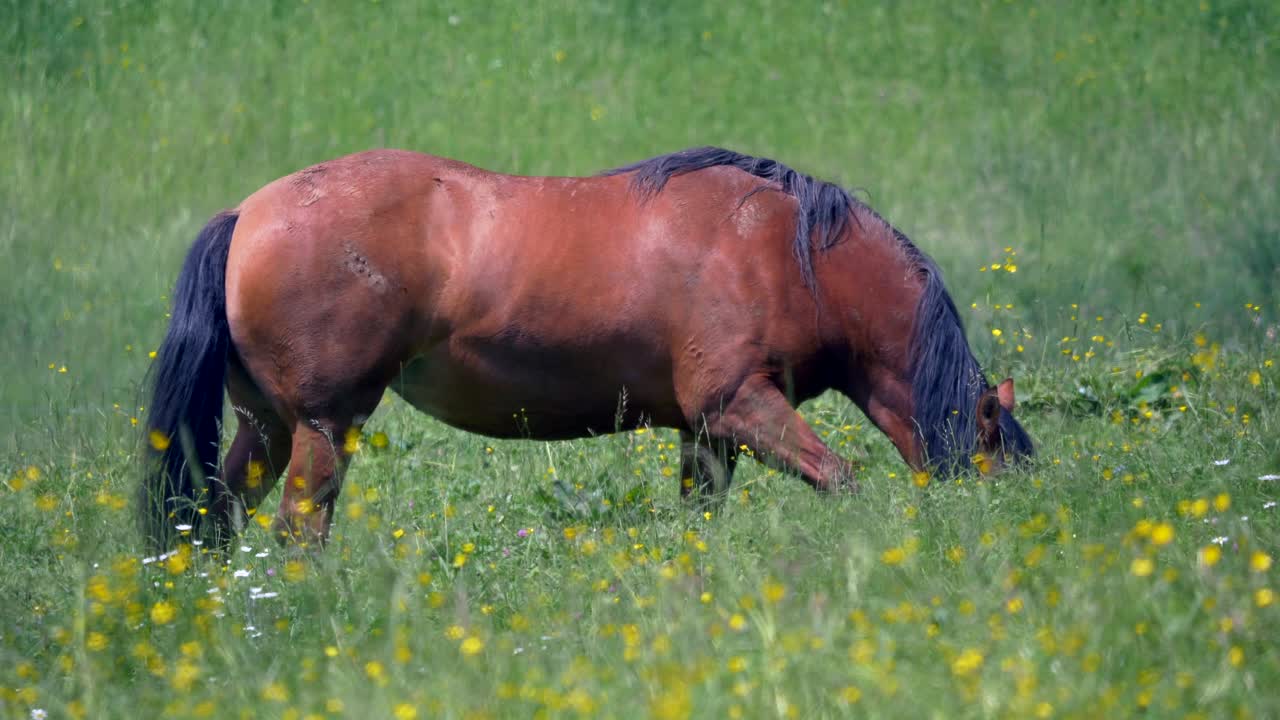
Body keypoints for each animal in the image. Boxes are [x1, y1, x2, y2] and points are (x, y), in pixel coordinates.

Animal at [140, 146, 1033, 549]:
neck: (788, 247)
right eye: (994, 464)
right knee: (298, 530)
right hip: (325, 427)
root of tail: (247, 214)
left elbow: (700, 520)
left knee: (215, 520)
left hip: (269, 427)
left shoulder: (706, 432)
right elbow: (841, 480)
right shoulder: (741, 405)